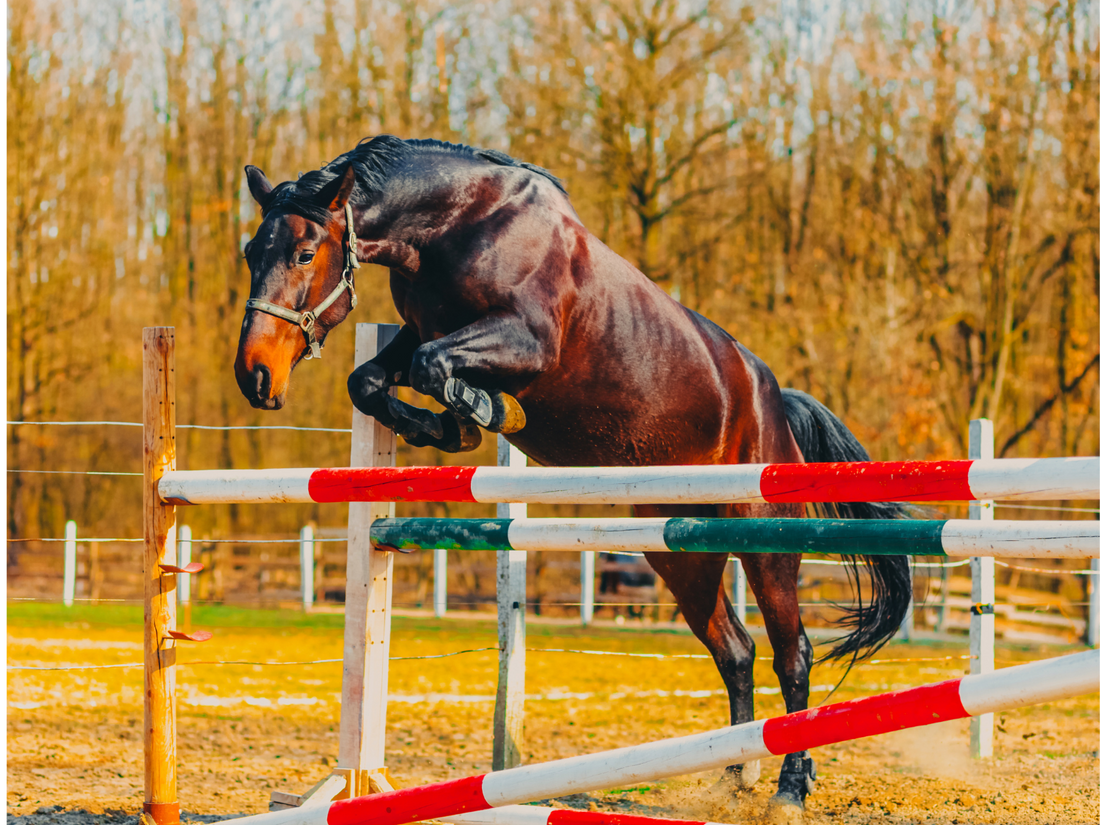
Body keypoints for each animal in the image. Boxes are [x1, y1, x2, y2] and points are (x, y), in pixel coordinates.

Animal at [234, 135, 910, 814]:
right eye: (250, 254)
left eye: (304, 253)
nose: (254, 376)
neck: (456, 226)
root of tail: (773, 398)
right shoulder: (420, 330)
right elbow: (370, 379)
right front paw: (448, 428)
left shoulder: (526, 341)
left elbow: (432, 366)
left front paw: (484, 412)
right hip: (681, 548)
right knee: (735, 650)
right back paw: (732, 778)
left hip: (764, 536)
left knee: (791, 655)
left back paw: (788, 790)